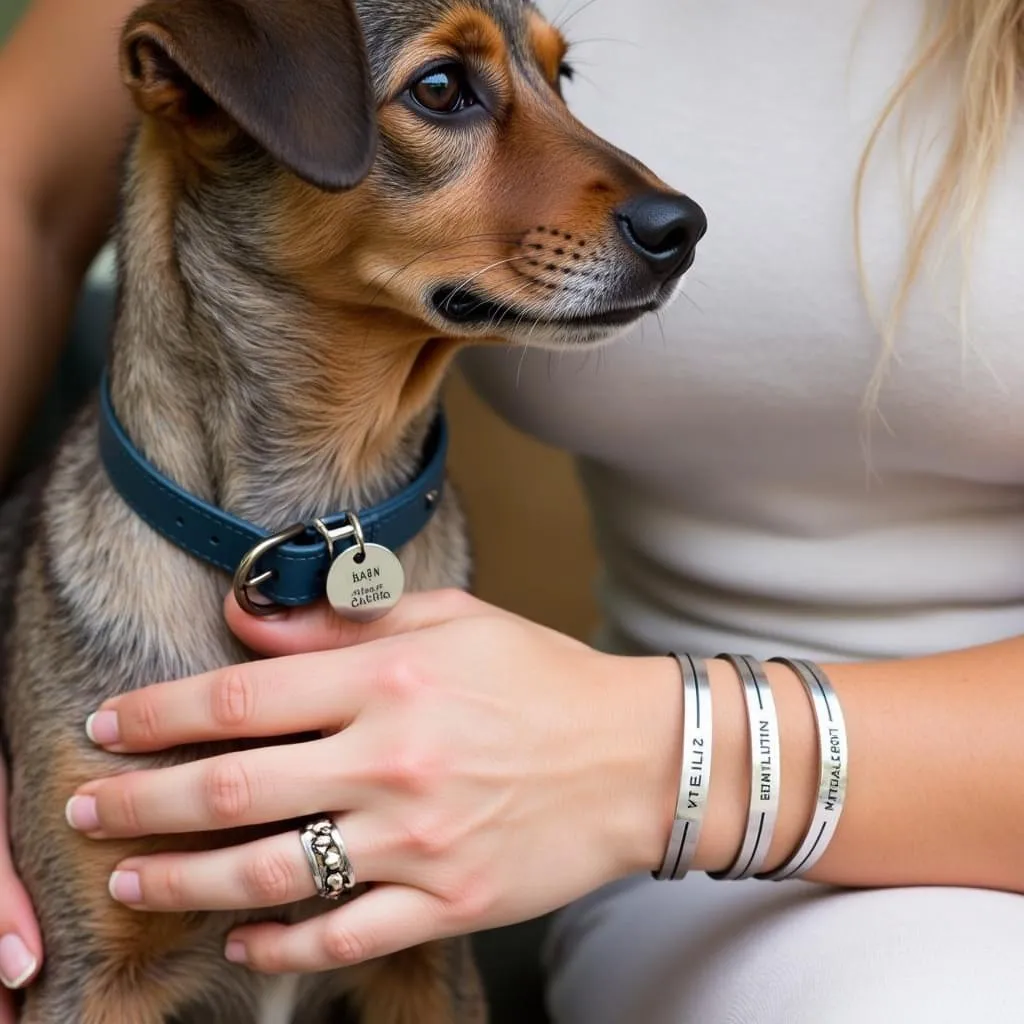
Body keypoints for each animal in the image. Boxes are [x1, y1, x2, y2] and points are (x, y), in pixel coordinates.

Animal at [0, 0, 704, 1019]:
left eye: (561, 78)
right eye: (441, 88)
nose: (685, 226)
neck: (310, 529)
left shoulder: (429, 955)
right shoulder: (89, 968)